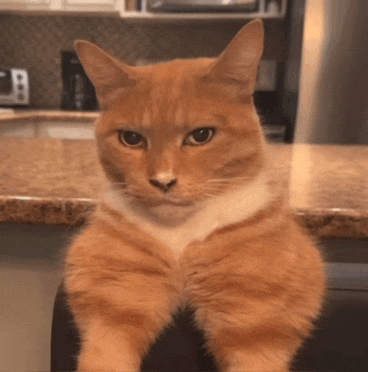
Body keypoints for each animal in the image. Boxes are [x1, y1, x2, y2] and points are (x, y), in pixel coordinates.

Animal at [64, 21, 324, 372]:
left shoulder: (257, 321)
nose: (163, 181)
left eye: (201, 135)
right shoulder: (115, 301)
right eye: (131, 138)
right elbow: (104, 354)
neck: (181, 236)